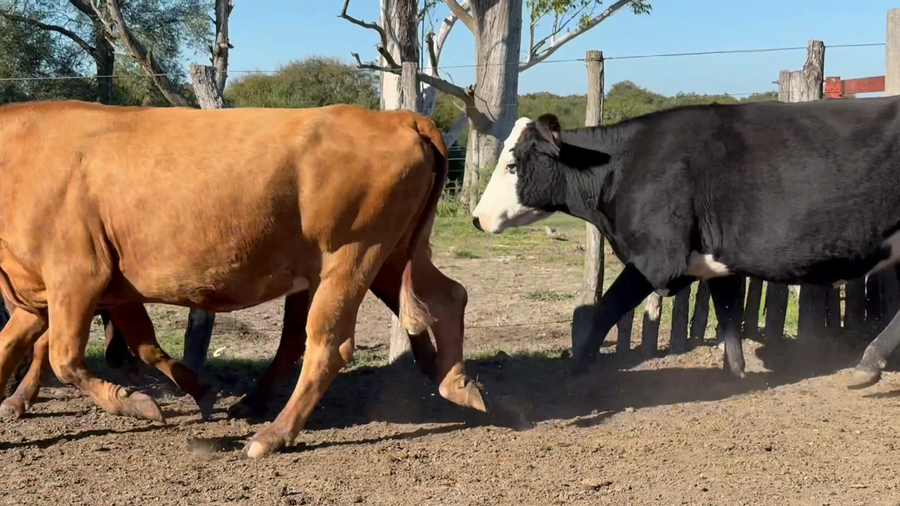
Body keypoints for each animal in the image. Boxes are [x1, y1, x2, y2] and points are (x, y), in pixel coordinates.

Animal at [0, 100, 487, 458]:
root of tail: (396, 117)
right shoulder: (50, 291)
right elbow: (16, 345)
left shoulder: (78, 273)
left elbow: (64, 356)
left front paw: (137, 401)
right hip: (389, 255)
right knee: (449, 295)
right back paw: (457, 383)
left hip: (352, 255)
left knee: (326, 345)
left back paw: (272, 435)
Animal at [470, 98, 900, 382]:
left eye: (513, 165)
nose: (477, 217)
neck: (625, 165)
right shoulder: (716, 262)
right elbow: (729, 319)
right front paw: (737, 376)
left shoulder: (657, 260)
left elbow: (606, 310)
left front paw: (576, 370)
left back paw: (867, 364)